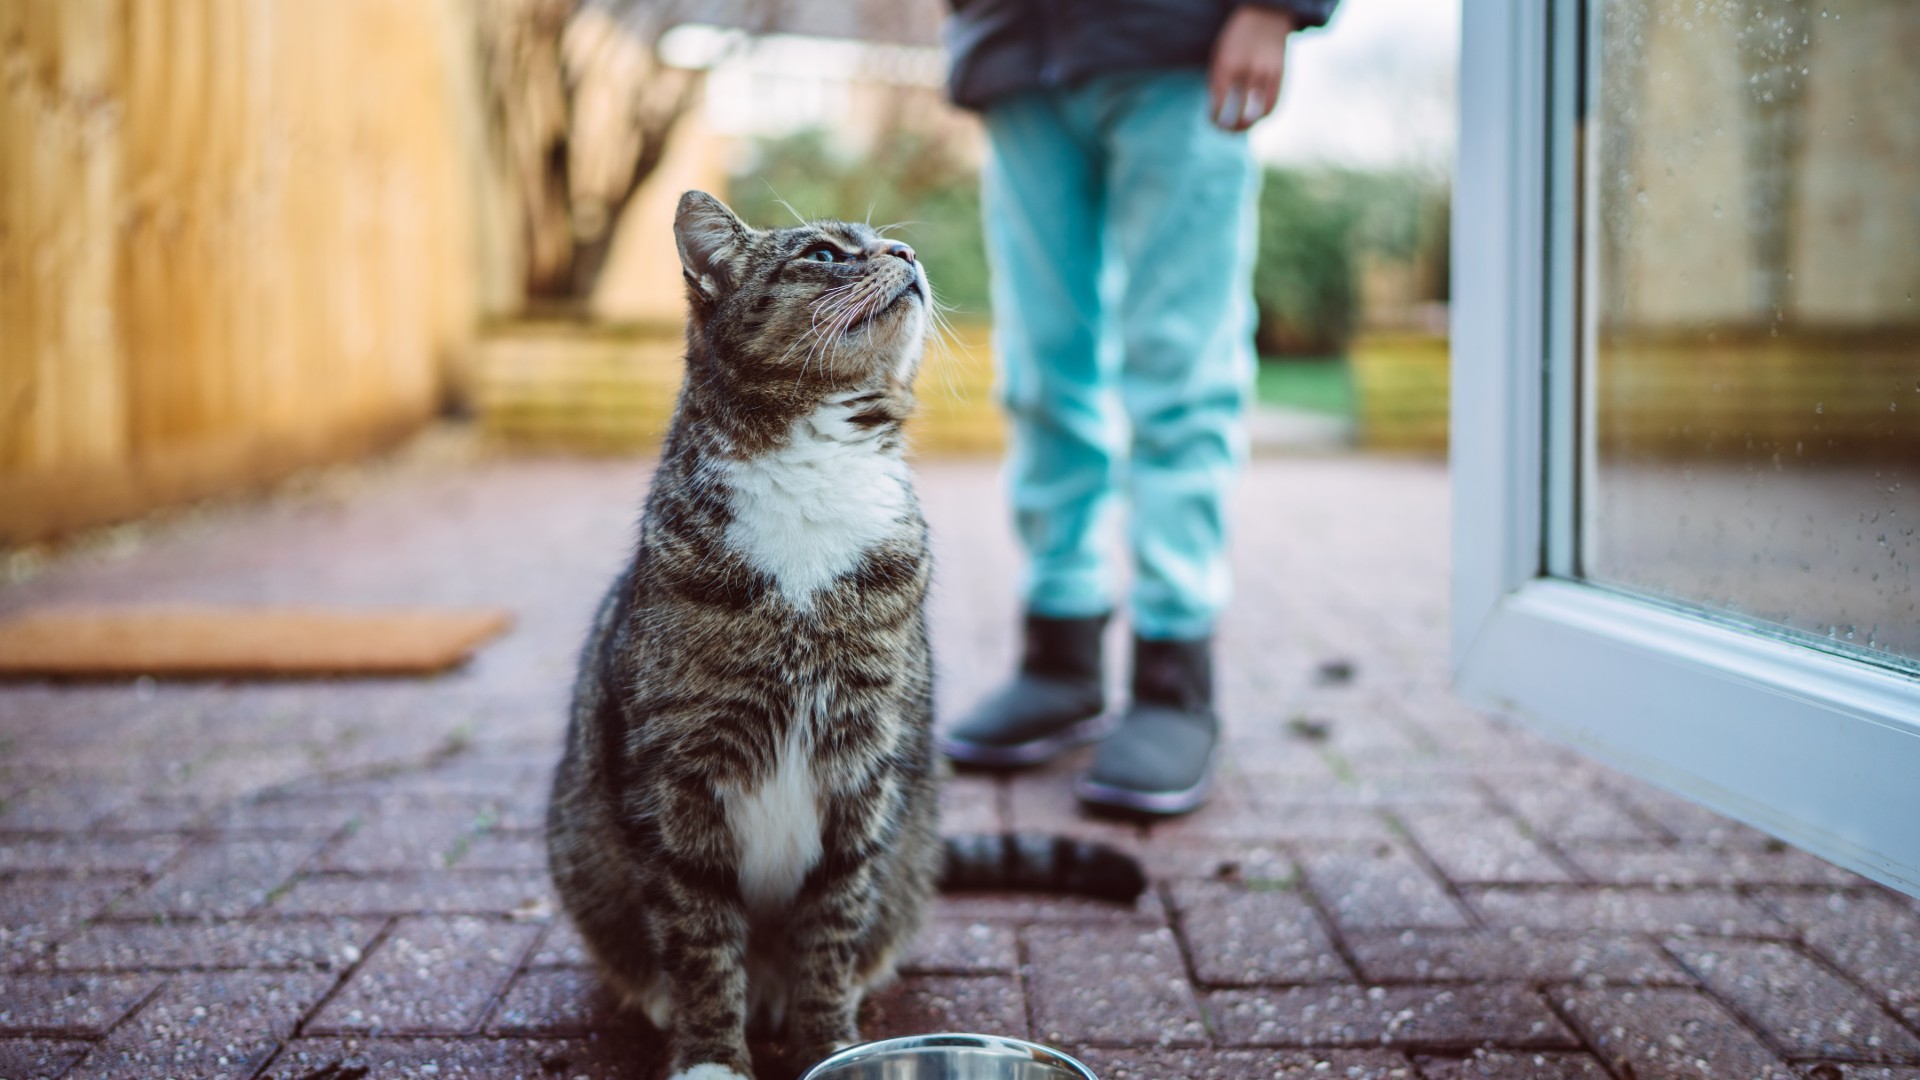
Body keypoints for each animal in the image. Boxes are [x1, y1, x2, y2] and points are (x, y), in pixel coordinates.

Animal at [541, 193, 1136, 1076]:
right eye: (824, 254)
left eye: (887, 244)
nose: (907, 252)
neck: (815, 469)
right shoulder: (677, 773)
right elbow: (698, 934)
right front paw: (711, 1054)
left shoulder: (863, 763)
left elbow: (831, 925)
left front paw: (829, 1041)